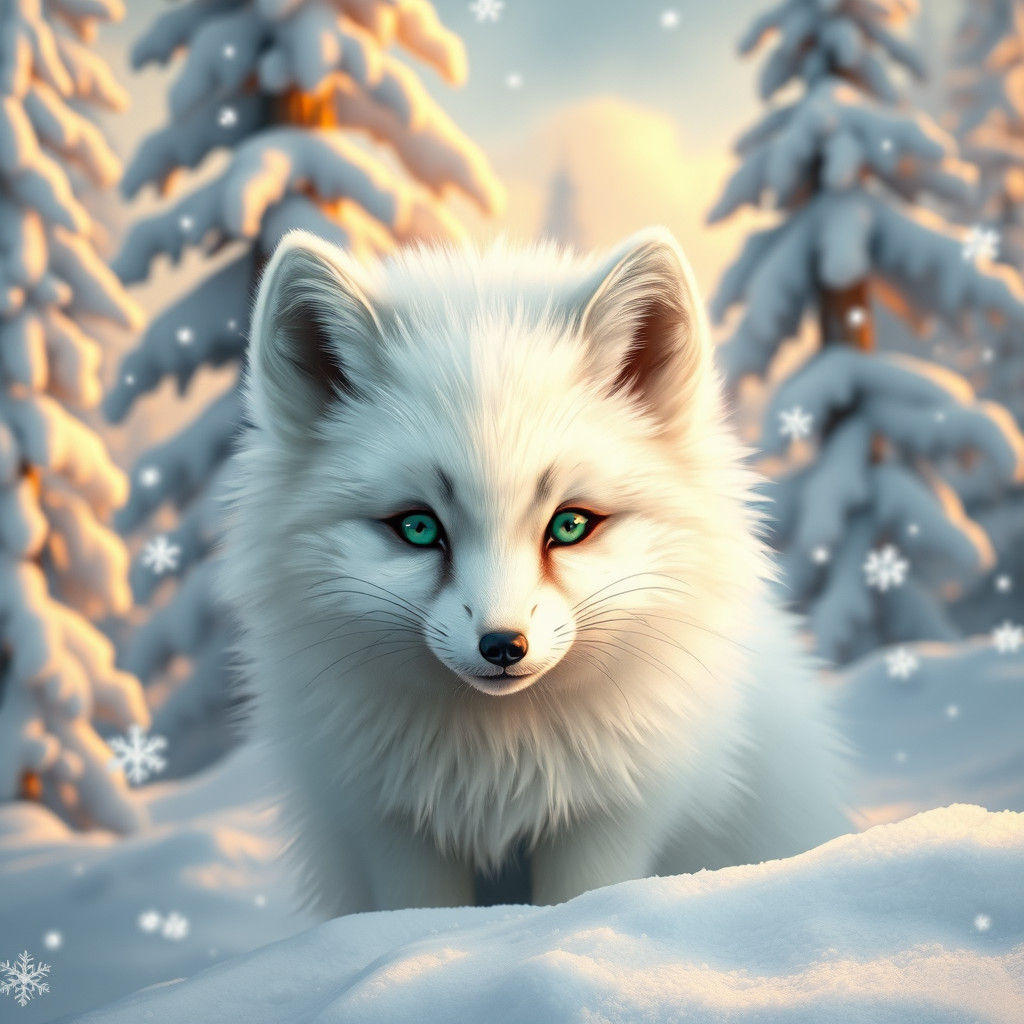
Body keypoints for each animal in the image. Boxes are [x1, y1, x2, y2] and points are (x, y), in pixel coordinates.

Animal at [218, 226, 850, 915]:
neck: (499, 765)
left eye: (570, 525)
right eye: (418, 528)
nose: (502, 646)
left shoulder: (605, 820)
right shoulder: (394, 830)